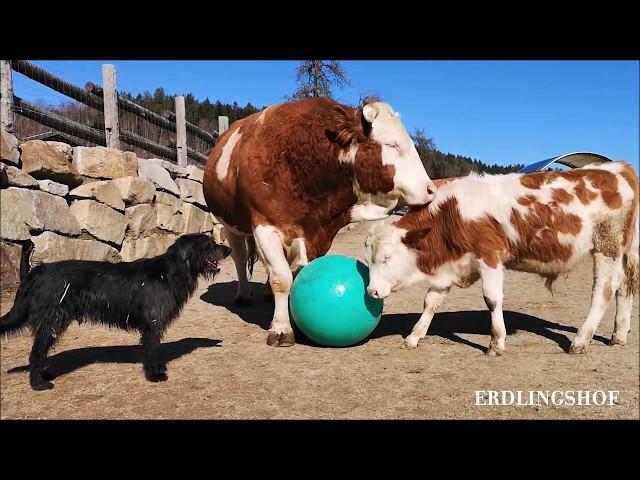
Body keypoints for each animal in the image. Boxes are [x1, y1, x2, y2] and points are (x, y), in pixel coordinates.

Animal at [0, 234, 230, 392]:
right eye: (208, 244)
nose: (227, 249)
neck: (168, 272)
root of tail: (36, 272)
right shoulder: (152, 325)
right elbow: (152, 350)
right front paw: (154, 375)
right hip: (52, 321)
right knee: (36, 353)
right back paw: (38, 383)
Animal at [202, 96, 438, 344]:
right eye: (392, 145)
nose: (430, 189)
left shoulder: (318, 234)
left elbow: (295, 275)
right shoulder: (264, 225)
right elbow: (281, 278)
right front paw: (281, 327)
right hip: (230, 225)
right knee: (239, 257)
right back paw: (243, 295)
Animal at [364, 163, 640, 354]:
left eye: (387, 257)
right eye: (368, 260)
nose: (372, 292)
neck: (453, 212)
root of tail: (617, 168)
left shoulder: (489, 256)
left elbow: (492, 299)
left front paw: (496, 342)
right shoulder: (453, 265)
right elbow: (431, 301)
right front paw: (414, 337)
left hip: (606, 247)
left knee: (604, 290)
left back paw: (581, 341)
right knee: (624, 288)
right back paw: (619, 335)